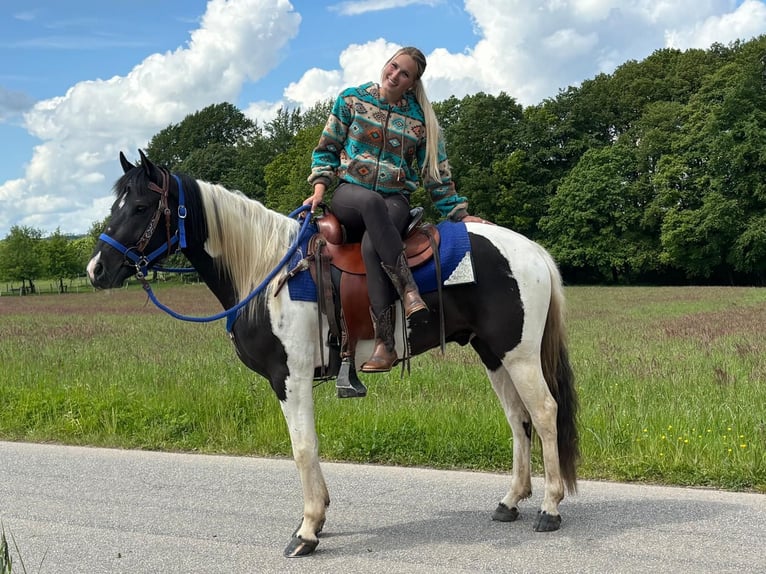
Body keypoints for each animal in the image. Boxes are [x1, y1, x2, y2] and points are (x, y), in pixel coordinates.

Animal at [87, 150, 579, 558]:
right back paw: (511, 501)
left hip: (518, 354)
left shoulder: (290, 377)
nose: (96, 269)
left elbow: (303, 448)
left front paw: (308, 531)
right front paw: (315, 521)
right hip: (493, 353)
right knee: (518, 419)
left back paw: (550, 509)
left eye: (141, 207)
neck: (269, 273)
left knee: (544, 412)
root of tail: (532, 251)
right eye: (117, 205)